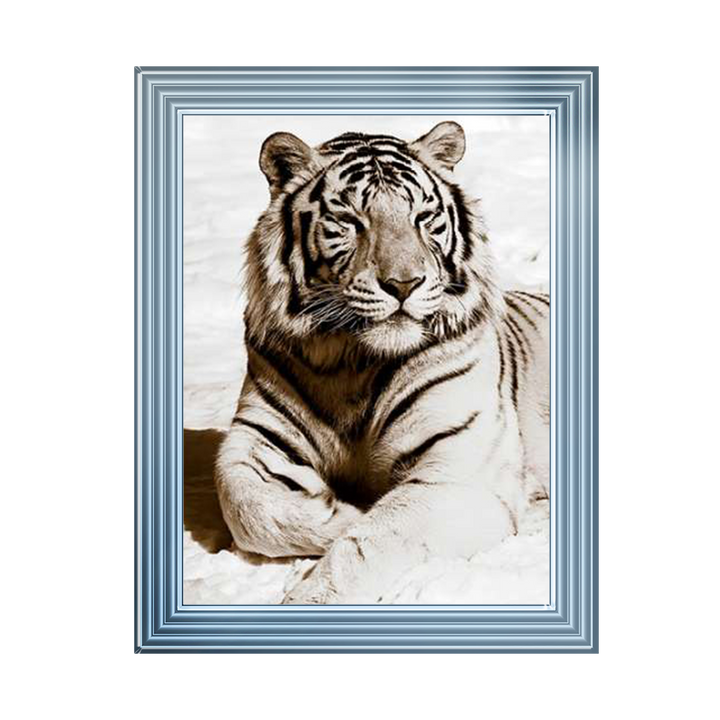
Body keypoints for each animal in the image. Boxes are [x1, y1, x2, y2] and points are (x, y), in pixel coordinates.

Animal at [215, 121, 550, 604]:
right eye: (350, 222)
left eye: (423, 218)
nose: (404, 284)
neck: (352, 361)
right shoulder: (255, 435)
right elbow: (245, 507)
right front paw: (338, 509)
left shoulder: (460, 472)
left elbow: (370, 543)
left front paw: (313, 593)